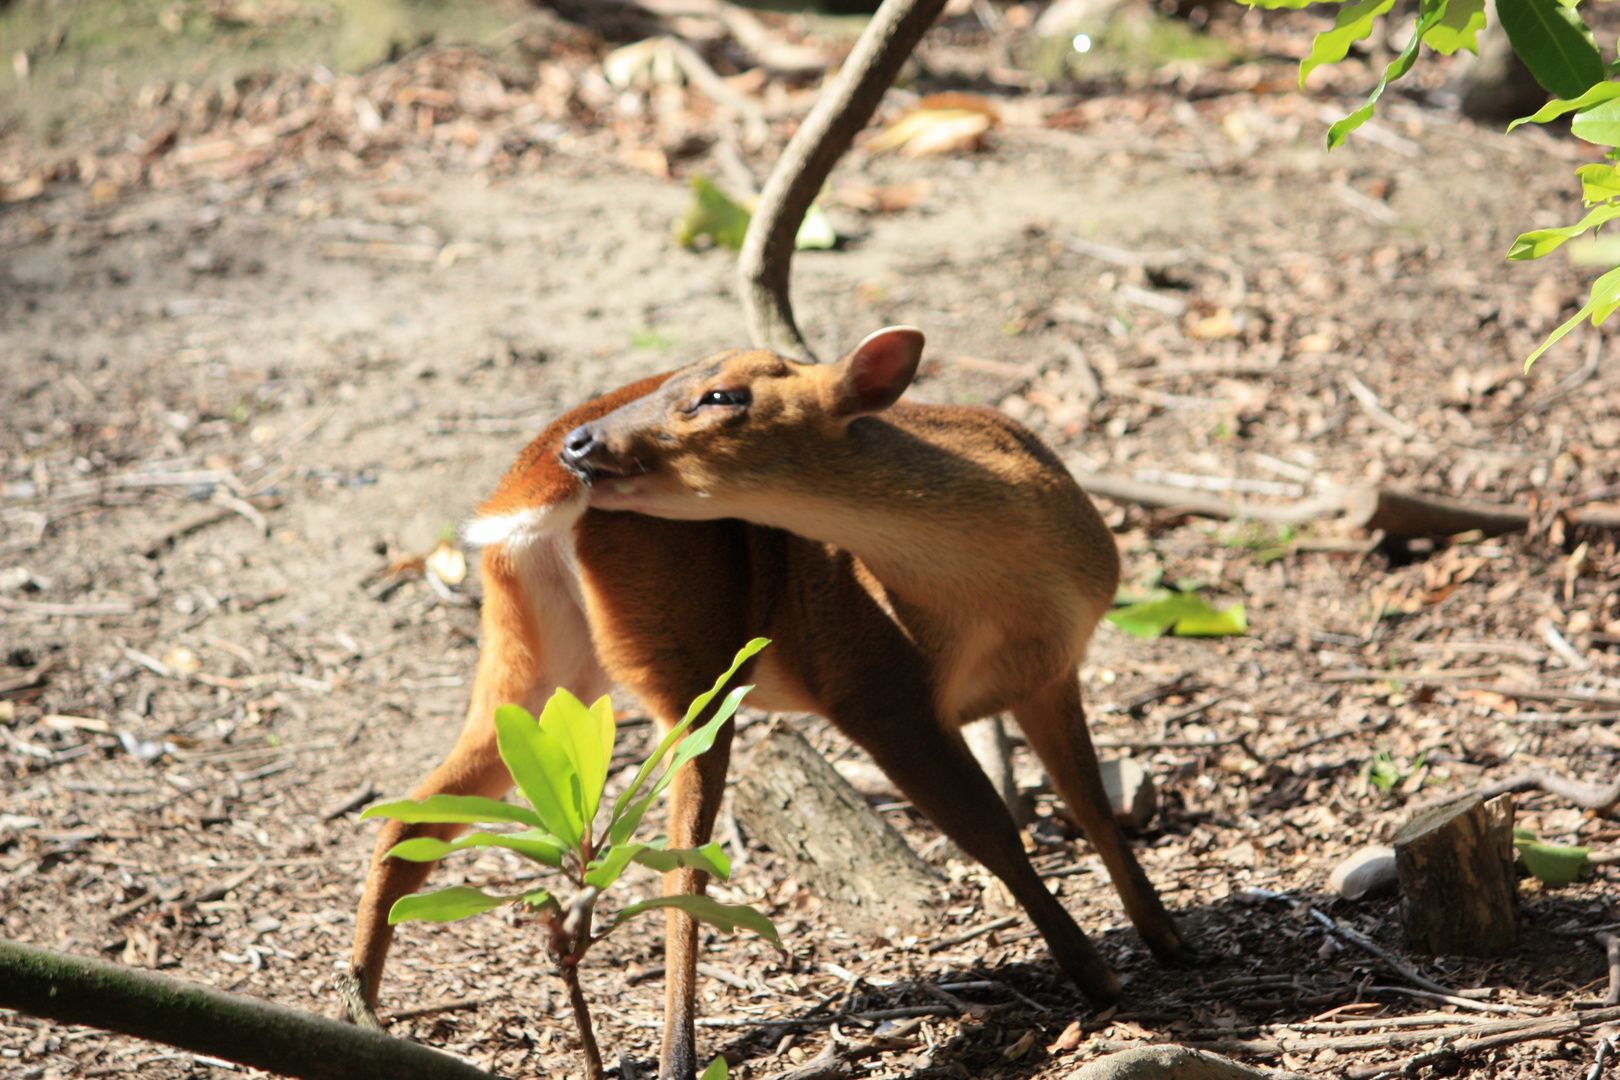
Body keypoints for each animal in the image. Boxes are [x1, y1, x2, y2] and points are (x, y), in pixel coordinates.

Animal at [341, 327, 1185, 1080]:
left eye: (722, 394)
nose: (581, 446)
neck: (1002, 594)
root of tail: (523, 487)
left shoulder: (1052, 671)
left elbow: (1090, 802)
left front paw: (1165, 936)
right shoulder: (876, 692)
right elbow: (995, 834)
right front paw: (1096, 977)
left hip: (539, 663)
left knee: (411, 816)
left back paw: (363, 1012)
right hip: (688, 672)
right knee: (677, 870)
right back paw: (677, 1057)